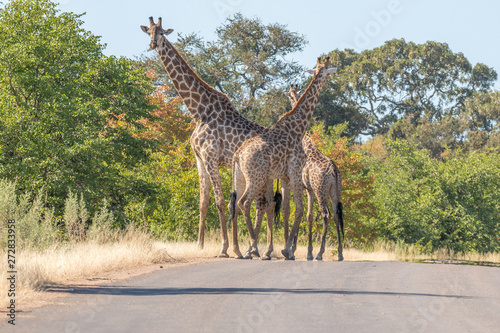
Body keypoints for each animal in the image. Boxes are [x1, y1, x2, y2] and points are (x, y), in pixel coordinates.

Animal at [141, 16, 274, 258]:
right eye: (149, 32)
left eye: (162, 32)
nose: (153, 44)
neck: (198, 110)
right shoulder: (199, 159)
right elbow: (203, 202)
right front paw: (199, 244)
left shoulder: (211, 156)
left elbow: (220, 201)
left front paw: (224, 248)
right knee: (261, 204)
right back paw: (257, 248)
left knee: (262, 204)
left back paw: (259, 249)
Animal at [230, 57, 336, 260]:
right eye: (327, 72)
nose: (328, 84)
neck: (298, 128)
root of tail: (238, 154)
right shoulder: (295, 171)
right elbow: (299, 209)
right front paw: (287, 250)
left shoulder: (285, 177)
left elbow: (287, 210)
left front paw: (285, 250)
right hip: (256, 178)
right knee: (244, 202)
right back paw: (252, 247)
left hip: (240, 177)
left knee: (236, 204)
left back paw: (239, 251)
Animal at [286, 84, 344, 260]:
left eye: (289, 95)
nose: (290, 97)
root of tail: (333, 171)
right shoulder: (309, 189)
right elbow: (309, 216)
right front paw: (308, 251)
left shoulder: (303, 187)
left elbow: (301, 212)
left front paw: (296, 250)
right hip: (335, 190)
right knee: (336, 214)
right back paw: (340, 253)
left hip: (321, 190)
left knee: (326, 215)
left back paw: (320, 253)